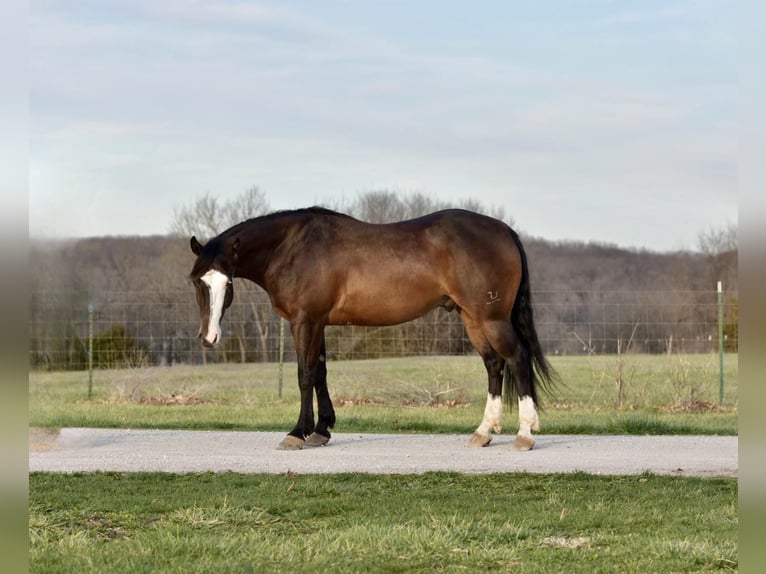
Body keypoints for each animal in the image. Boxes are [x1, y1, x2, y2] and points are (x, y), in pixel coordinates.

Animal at [188, 209, 556, 452]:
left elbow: (304, 375)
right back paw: (484, 432)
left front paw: (298, 432)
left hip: (491, 318)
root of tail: (504, 230)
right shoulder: (318, 323)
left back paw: (525, 434)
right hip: (471, 317)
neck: (291, 246)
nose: (209, 337)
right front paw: (322, 430)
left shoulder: (304, 321)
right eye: (197, 281)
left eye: (227, 283)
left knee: (517, 358)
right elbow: (320, 373)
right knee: (494, 365)